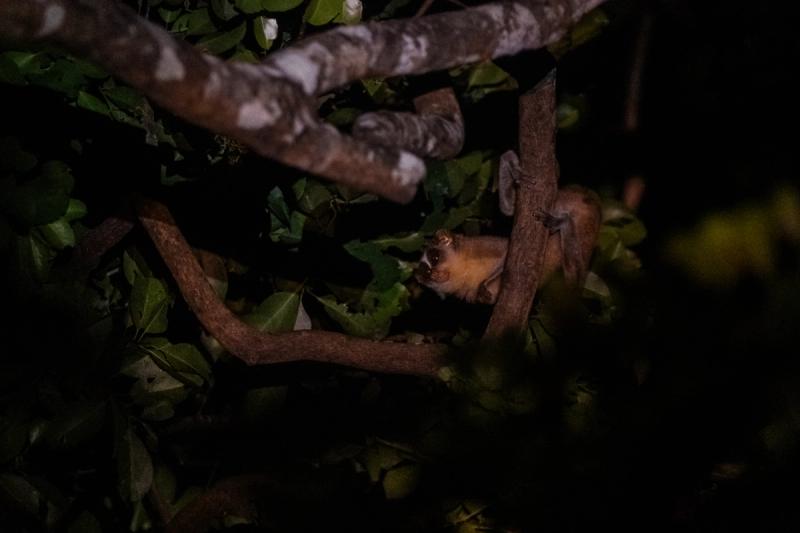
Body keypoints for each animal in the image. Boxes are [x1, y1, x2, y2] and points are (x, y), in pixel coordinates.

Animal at [415, 151, 601, 304]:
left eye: (435, 257)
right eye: (426, 273)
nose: (434, 273)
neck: (461, 269)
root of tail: (588, 199)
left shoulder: (481, 246)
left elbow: (506, 254)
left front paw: (484, 283)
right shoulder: (468, 293)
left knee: (573, 280)